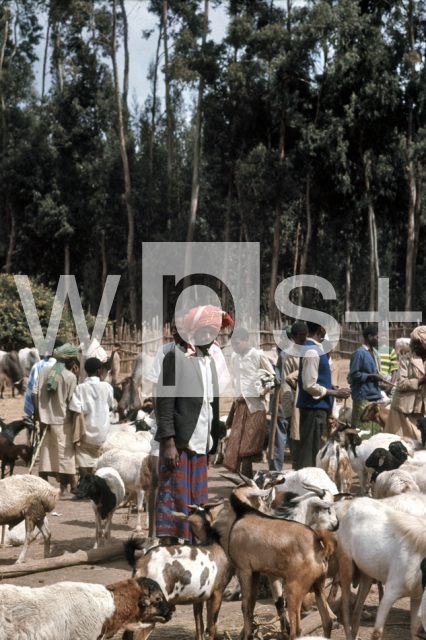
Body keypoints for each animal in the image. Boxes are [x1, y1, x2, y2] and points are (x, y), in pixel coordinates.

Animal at [123, 502, 233, 640]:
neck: (211, 542)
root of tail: (141, 564)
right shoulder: (218, 592)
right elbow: (212, 626)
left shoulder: (198, 598)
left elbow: (199, 625)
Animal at [338, 498, 426, 640]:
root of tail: (352, 504)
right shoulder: (390, 592)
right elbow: (377, 633)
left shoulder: (417, 595)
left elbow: (415, 630)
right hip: (346, 563)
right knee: (344, 608)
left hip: (366, 575)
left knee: (357, 609)